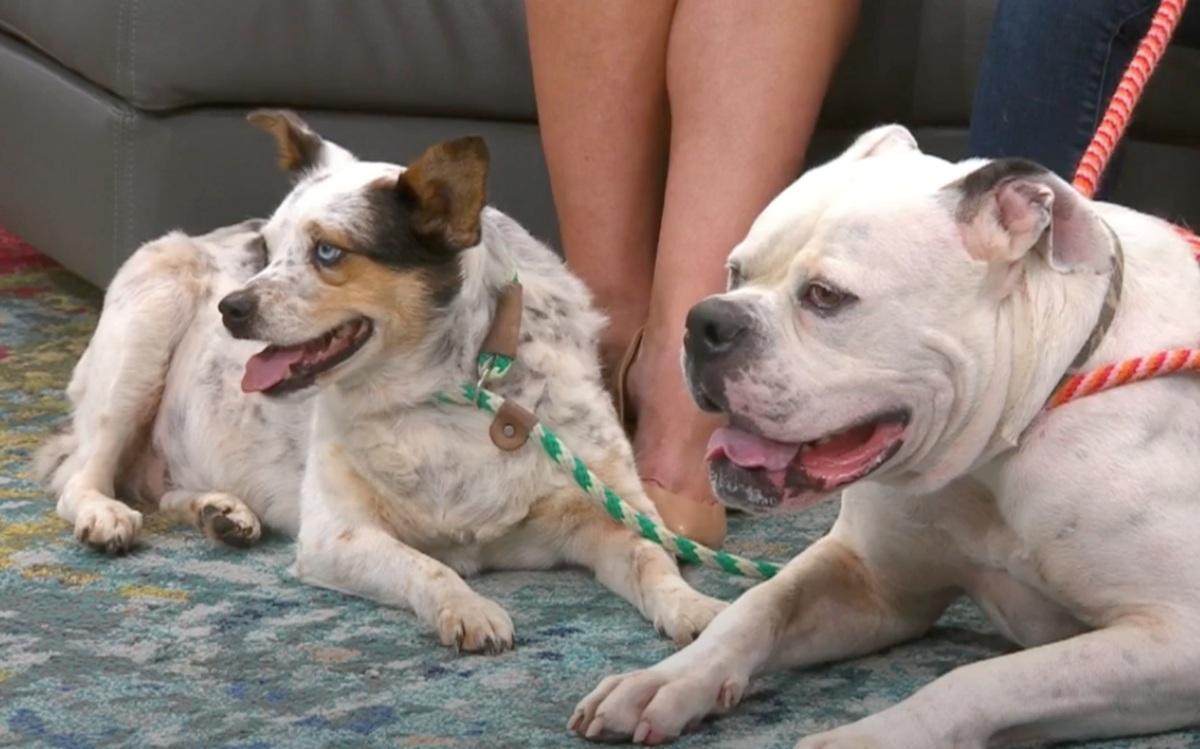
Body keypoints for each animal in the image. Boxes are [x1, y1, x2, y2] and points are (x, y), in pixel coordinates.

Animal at [39, 108, 720, 652]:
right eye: (265, 249)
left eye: (328, 252)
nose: (230, 308)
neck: (441, 395)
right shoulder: (336, 536)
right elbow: (428, 567)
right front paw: (469, 609)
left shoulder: (603, 513)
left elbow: (650, 556)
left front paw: (697, 609)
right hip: (148, 323)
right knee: (82, 477)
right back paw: (105, 514)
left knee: (160, 487)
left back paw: (221, 511)